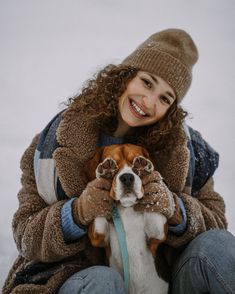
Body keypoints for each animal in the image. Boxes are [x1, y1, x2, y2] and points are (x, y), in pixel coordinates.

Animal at [84, 144, 169, 292]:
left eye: (134, 163)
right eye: (114, 164)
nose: (127, 177)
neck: (127, 209)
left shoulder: (157, 236)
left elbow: (155, 216)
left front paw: (147, 171)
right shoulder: (98, 238)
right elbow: (99, 220)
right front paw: (103, 175)